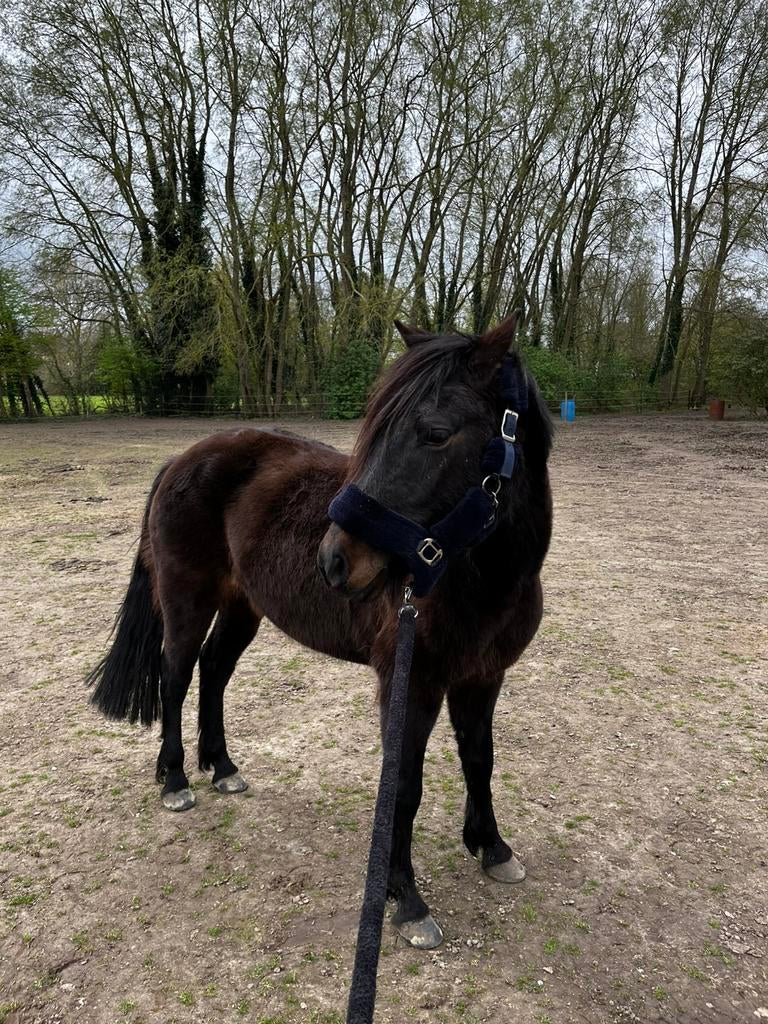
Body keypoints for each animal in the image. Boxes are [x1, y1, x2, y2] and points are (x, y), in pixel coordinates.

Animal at [88, 312, 553, 949]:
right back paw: (176, 778)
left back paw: (221, 767)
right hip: (188, 603)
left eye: (435, 434)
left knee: (213, 670)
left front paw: (492, 847)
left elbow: (480, 759)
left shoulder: (483, 677)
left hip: (243, 607)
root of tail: (182, 459)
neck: (482, 577)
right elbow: (403, 785)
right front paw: (405, 899)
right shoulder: (411, 682)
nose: (333, 559)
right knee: (176, 675)